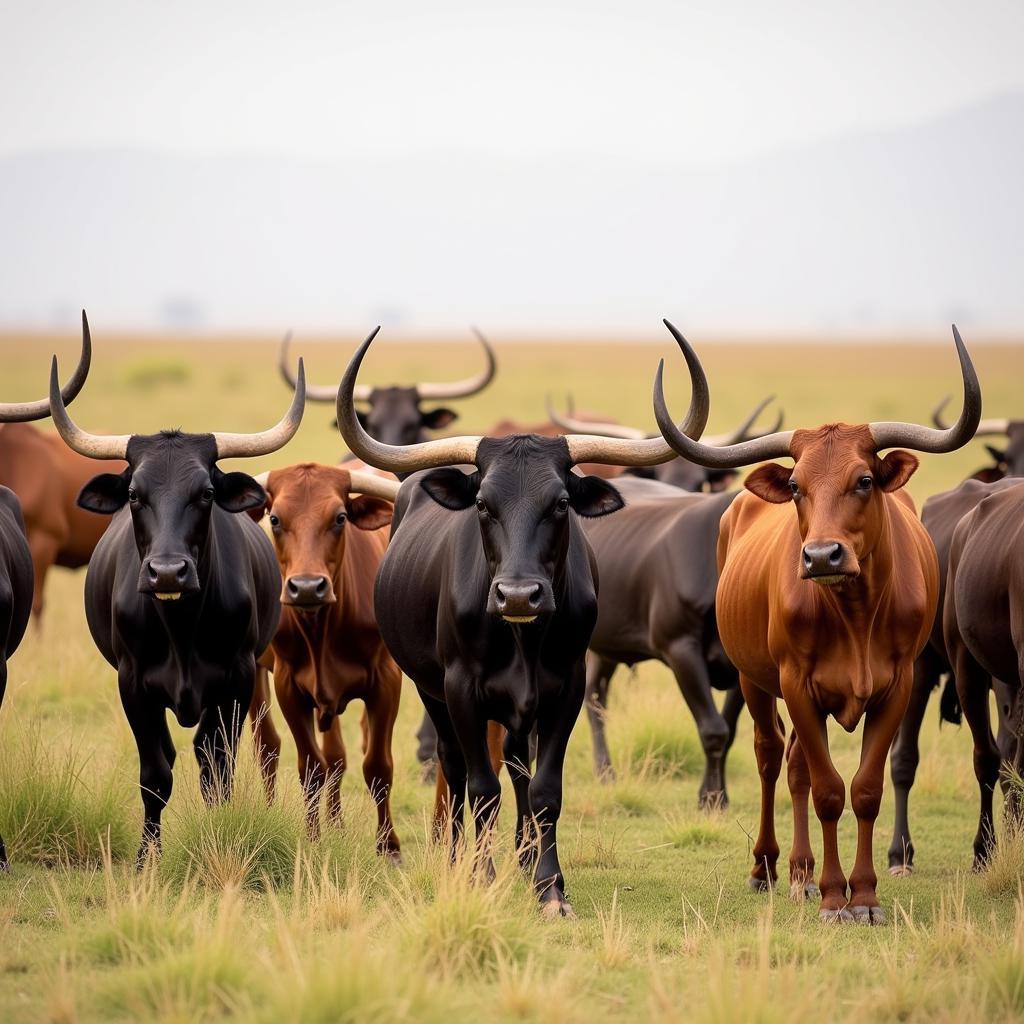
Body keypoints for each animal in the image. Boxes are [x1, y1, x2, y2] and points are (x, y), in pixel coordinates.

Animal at [48, 333, 303, 856]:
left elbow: (216, 769)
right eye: (134, 494)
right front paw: (148, 856)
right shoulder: (132, 684)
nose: (167, 572)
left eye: (205, 493)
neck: (181, 629)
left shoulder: (236, 680)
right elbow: (155, 775)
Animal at [247, 464, 403, 856]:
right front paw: (313, 838)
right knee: (268, 746)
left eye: (340, 517)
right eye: (275, 518)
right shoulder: (288, 685)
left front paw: (388, 846)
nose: (305, 587)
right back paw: (271, 811)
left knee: (337, 756)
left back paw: (338, 824)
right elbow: (310, 767)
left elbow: (377, 766)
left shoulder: (387, 682)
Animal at [335, 319, 704, 913]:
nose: (517, 596)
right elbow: (481, 787)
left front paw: (549, 886)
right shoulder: (461, 689)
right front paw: (482, 876)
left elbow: (544, 788)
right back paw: (459, 857)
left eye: (561, 504)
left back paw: (525, 856)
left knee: (515, 764)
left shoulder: (566, 690)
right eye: (483, 504)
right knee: (454, 766)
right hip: (428, 687)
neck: (522, 640)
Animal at [651, 329, 978, 929]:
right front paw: (832, 897)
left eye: (865, 480)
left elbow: (865, 789)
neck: (855, 615)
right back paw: (771, 868)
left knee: (796, 764)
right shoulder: (797, 685)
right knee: (771, 756)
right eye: (798, 485)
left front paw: (864, 895)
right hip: (756, 681)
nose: (822, 555)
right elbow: (827, 790)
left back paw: (800, 873)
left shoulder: (897, 688)